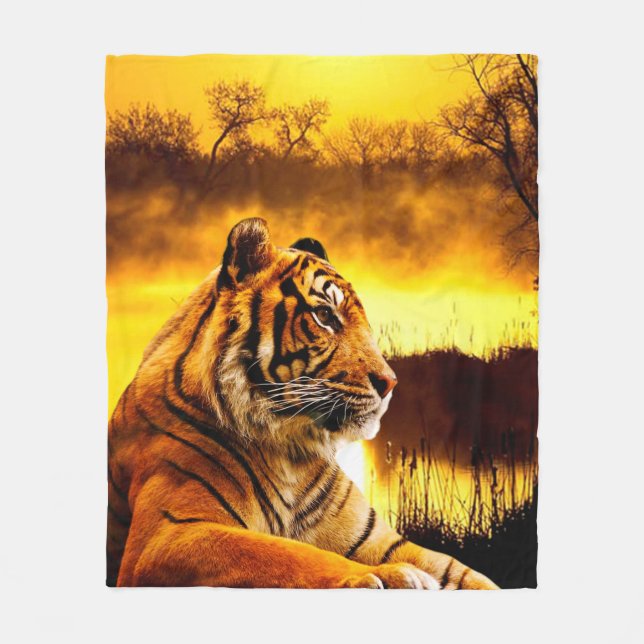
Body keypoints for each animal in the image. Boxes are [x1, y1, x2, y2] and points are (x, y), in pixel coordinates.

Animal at [107, 217, 498, 589]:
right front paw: (391, 577)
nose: (390, 383)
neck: (290, 454)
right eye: (324, 316)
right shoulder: (166, 535)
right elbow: (287, 554)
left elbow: (468, 575)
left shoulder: (378, 539)